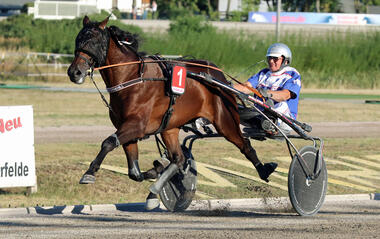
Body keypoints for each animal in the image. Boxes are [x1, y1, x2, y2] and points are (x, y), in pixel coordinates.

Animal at [67, 15, 276, 208]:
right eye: (78, 39)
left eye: (93, 41)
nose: (74, 72)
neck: (131, 78)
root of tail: (219, 75)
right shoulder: (127, 129)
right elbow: (134, 172)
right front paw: (155, 171)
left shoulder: (136, 126)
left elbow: (108, 142)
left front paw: (89, 173)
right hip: (170, 128)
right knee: (178, 159)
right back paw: (155, 190)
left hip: (225, 121)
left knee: (245, 145)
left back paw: (264, 170)